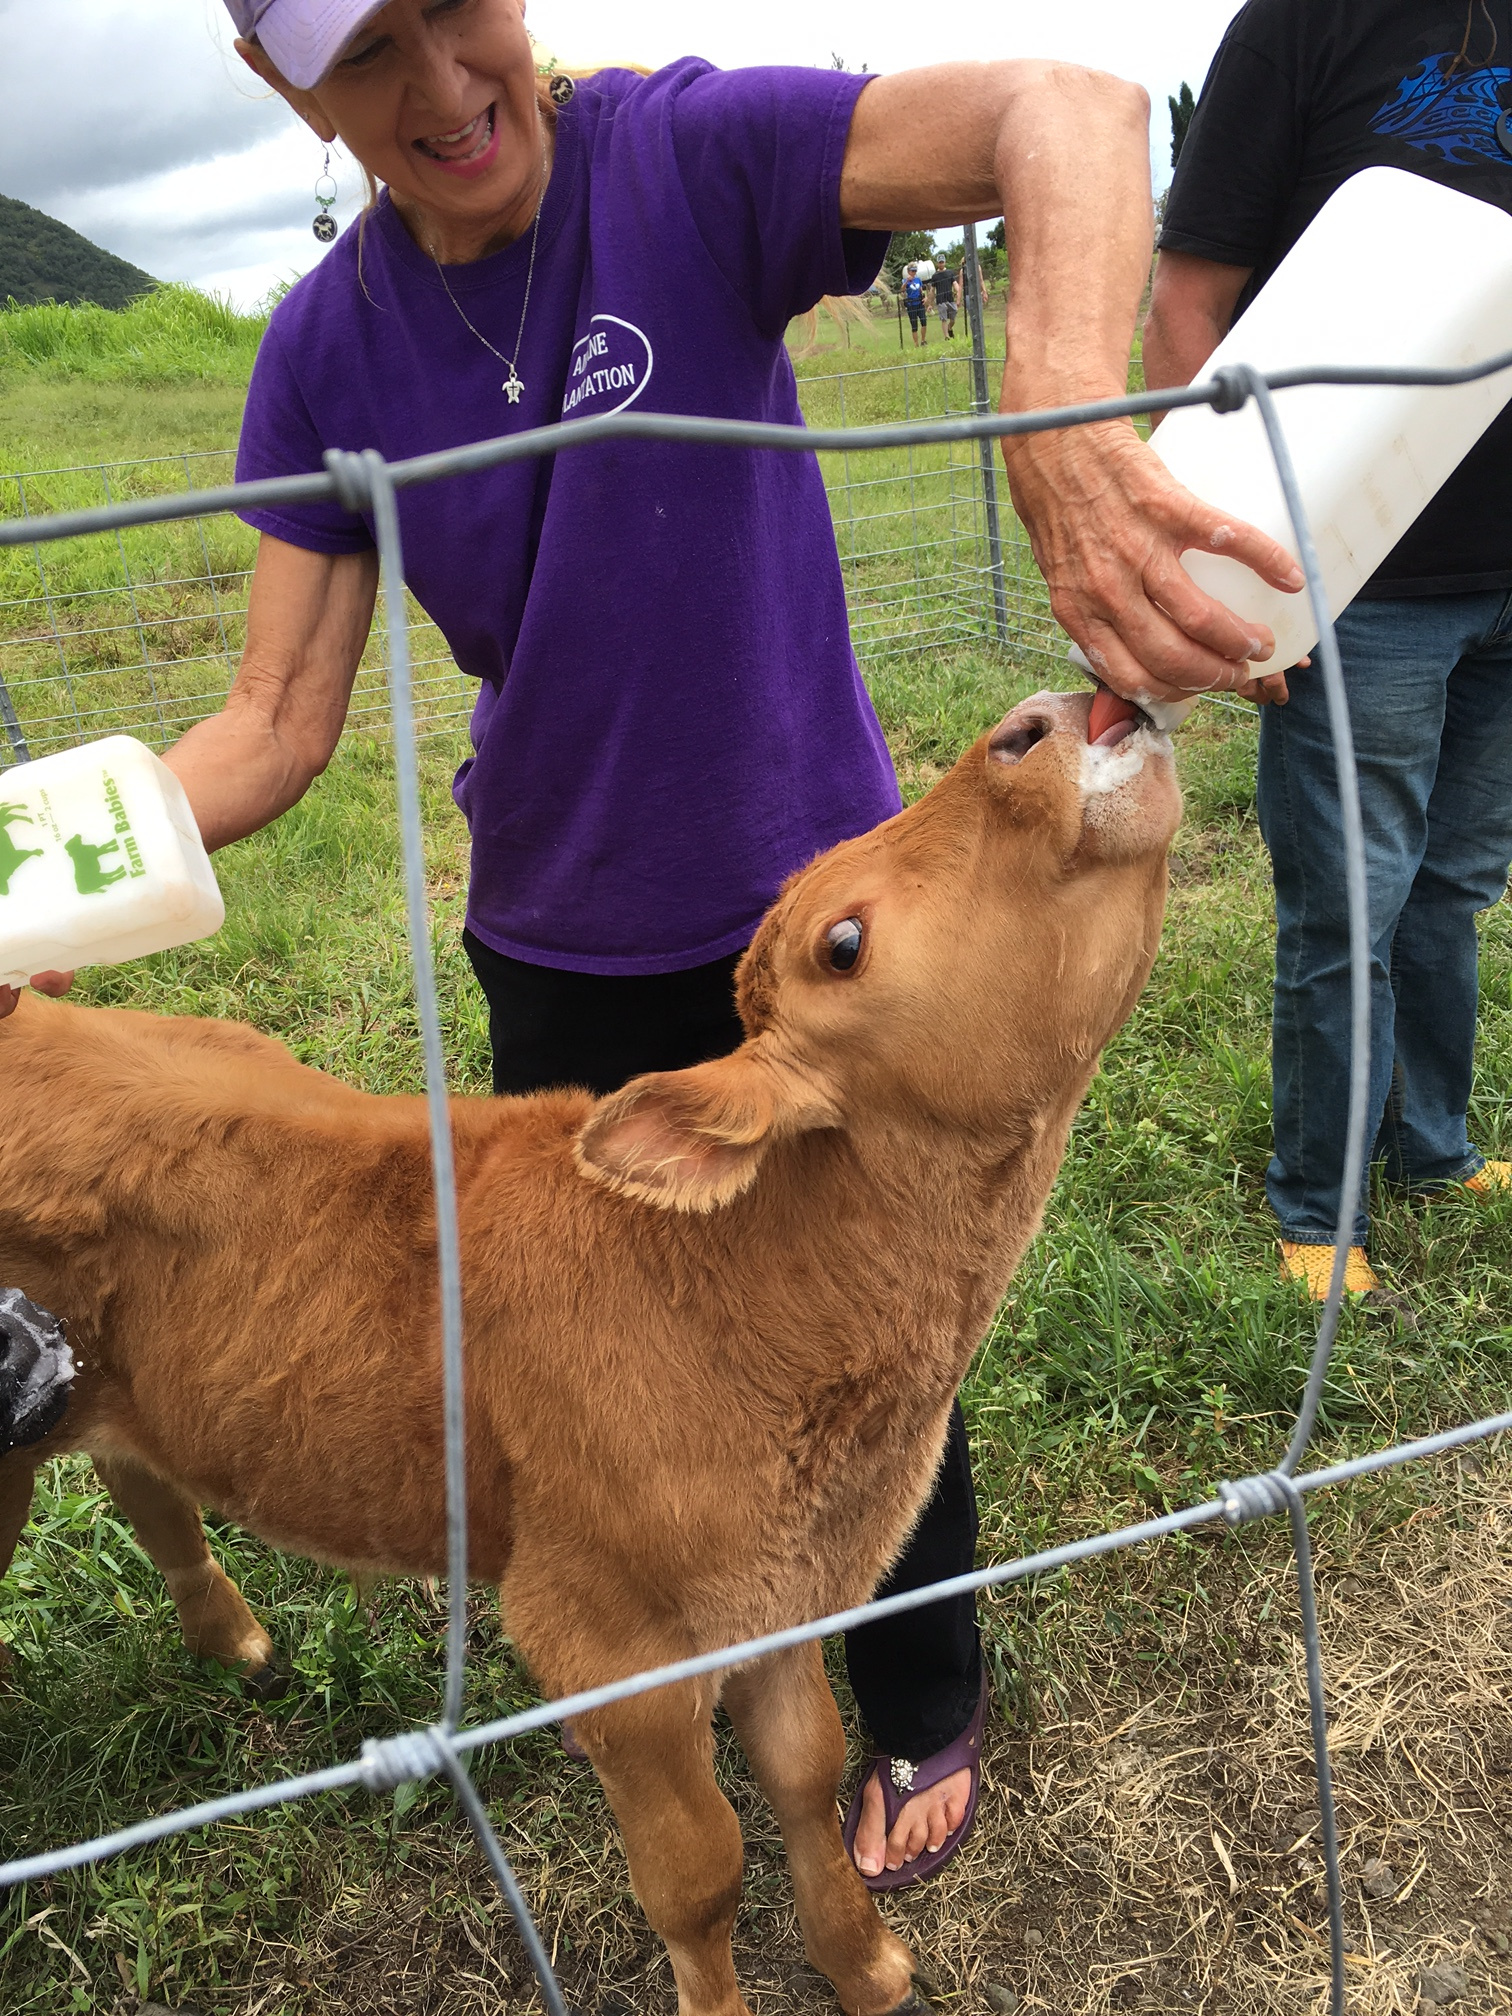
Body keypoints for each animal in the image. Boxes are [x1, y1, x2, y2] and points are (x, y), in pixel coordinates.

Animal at [0, 685, 1185, 2007]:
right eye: (844, 943)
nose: (1042, 716)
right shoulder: (608, 1646)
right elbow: (701, 1872)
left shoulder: (777, 1600)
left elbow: (808, 1774)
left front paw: (863, 1962)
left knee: (144, 1485)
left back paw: (238, 1645)